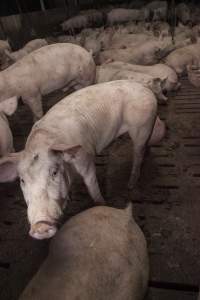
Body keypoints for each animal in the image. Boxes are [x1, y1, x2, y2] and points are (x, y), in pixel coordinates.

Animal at [0, 79, 158, 239]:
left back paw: (130, 184)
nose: (40, 226)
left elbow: (92, 185)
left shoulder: (86, 159)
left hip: (142, 126)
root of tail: (143, 86)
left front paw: (101, 203)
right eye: (22, 180)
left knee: (138, 154)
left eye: (54, 172)